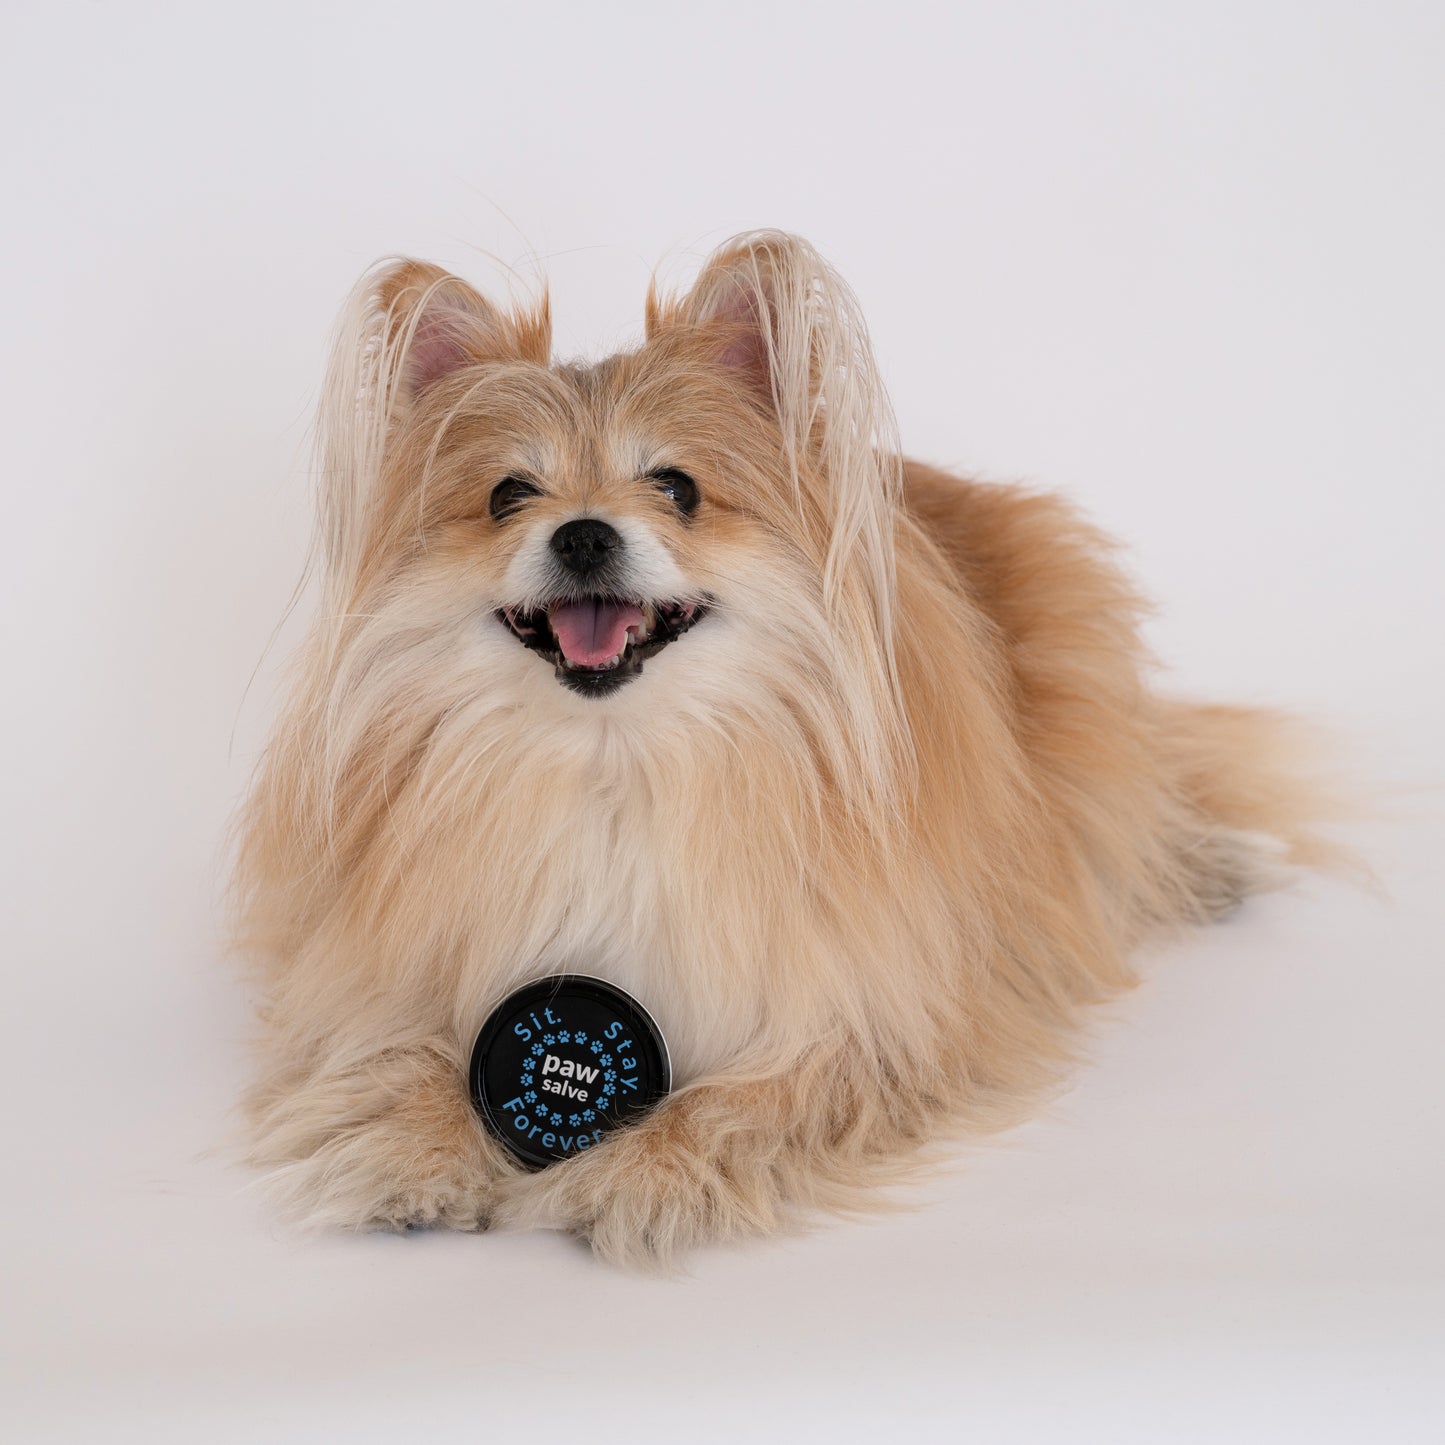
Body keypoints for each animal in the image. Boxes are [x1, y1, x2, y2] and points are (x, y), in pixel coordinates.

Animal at [234, 228, 1329, 1265]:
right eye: (509, 495)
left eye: (677, 487)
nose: (582, 533)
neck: (617, 760)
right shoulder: (386, 972)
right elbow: (397, 1051)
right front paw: (412, 1145)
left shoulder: (867, 1015)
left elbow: (738, 1100)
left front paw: (640, 1172)